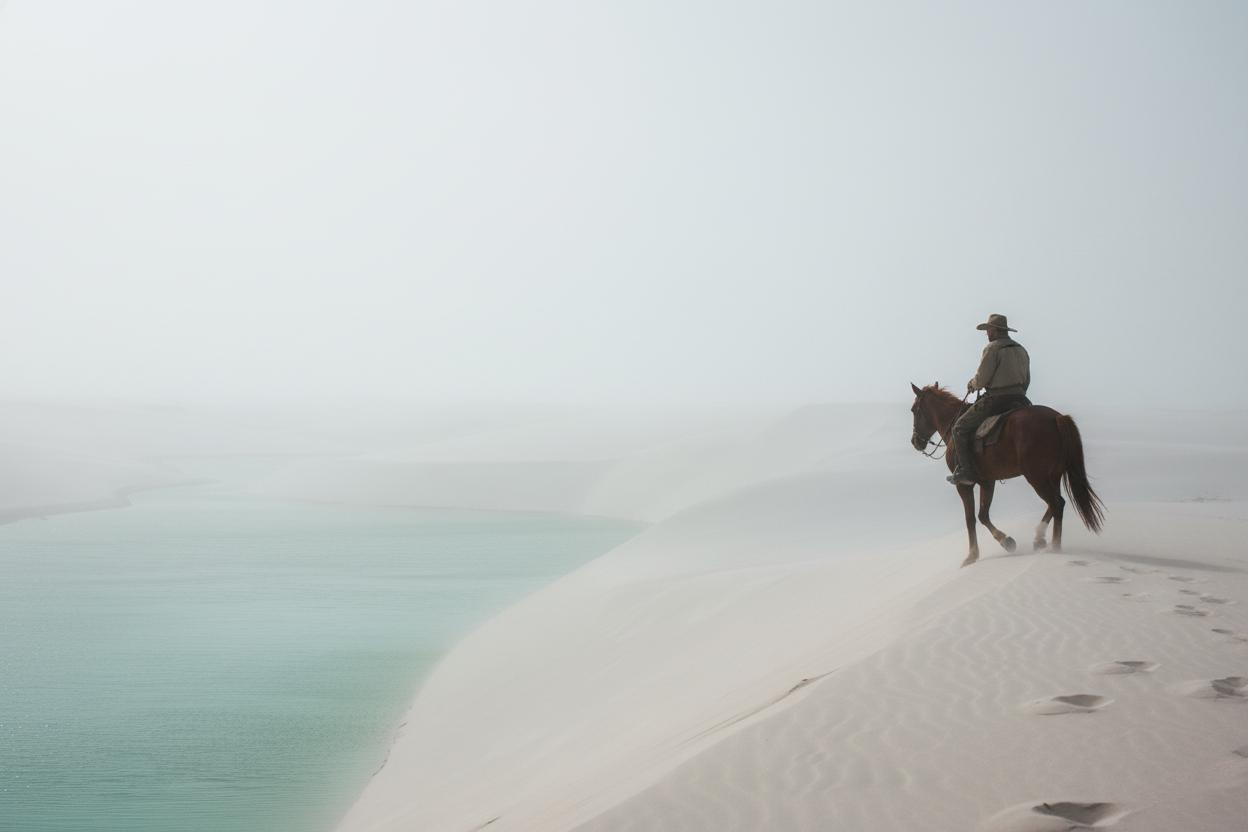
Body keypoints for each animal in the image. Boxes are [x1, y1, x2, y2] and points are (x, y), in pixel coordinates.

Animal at [909, 383, 1105, 567]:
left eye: (913, 410)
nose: (915, 441)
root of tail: (1057, 417)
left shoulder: (963, 484)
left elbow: (971, 518)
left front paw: (972, 555)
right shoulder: (988, 482)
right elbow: (983, 515)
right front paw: (1007, 542)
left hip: (1036, 477)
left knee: (1056, 503)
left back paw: (1054, 547)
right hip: (1052, 476)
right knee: (1056, 503)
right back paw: (1040, 539)